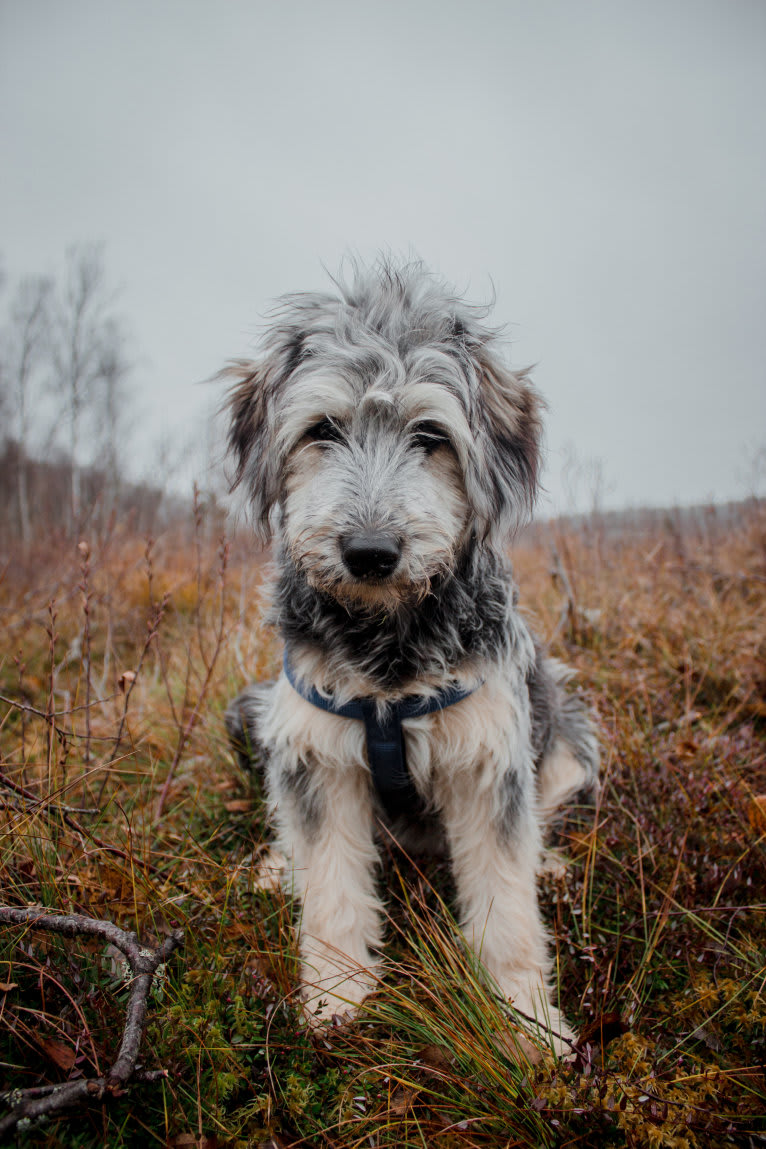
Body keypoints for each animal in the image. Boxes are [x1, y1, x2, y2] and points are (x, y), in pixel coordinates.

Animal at [221, 260, 597, 1057]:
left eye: (430, 434)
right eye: (323, 429)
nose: (369, 552)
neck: (388, 652)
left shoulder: (490, 759)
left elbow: (507, 906)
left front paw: (526, 1021)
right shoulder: (315, 753)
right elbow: (331, 887)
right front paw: (335, 997)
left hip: (569, 732)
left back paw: (550, 863)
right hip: (259, 712)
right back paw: (277, 867)